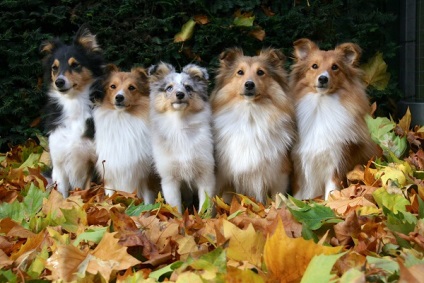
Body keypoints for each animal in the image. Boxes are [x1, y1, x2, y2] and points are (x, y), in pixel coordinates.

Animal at [40, 26, 103, 199]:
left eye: (75, 65)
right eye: (54, 68)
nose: (59, 82)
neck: (73, 104)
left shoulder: (92, 164)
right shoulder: (59, 165)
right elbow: (60, 196)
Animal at [93, 65, 156, 202]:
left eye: (131, 87)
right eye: (113, 86)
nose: (119, 97)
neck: (122, 119)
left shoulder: (147, 175)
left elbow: (148, 200)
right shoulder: (109, 174)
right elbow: (109, 198)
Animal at [149, 62, 215, 213]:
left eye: (188, 87)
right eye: (169, 88)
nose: (180, 94)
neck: (180, 125)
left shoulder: (206, 175)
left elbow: (205, 205)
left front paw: (203, 218)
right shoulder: (169, 179)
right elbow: (176, 208)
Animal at [210, 48, 296, 204]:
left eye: (260, 72)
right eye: (240, 72)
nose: (249, 84)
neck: (250, 115)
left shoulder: (279, 173)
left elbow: (278, 199)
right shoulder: (222, 174)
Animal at [292, 38, 378, 201]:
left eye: (335, 67)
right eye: (314, 66)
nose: (323, 78)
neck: (321, 105)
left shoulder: (337, 159)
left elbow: (331, 189)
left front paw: (330, 203)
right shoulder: (301, 162)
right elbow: (299, 191)